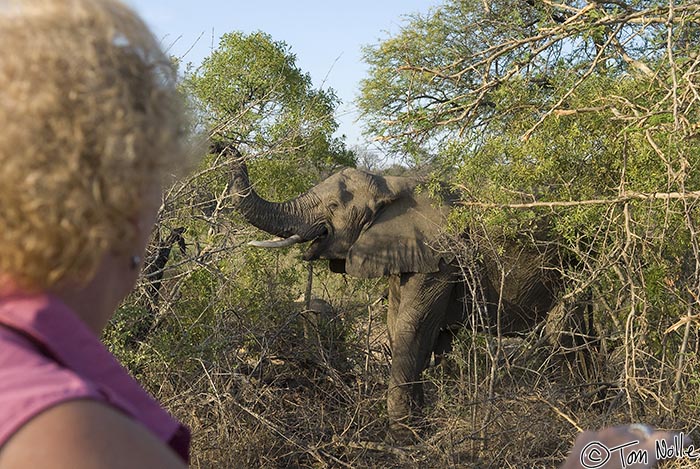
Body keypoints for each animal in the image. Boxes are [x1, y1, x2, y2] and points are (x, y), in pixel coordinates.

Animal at [227, 146, 572, 442]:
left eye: (334, 207)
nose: (221, 145)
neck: (390, 186)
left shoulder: (439, 257)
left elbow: (412, 327)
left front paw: (403, 438)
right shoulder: (404, 252)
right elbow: (396, 325)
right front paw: (419, 426)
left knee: (564, 329)